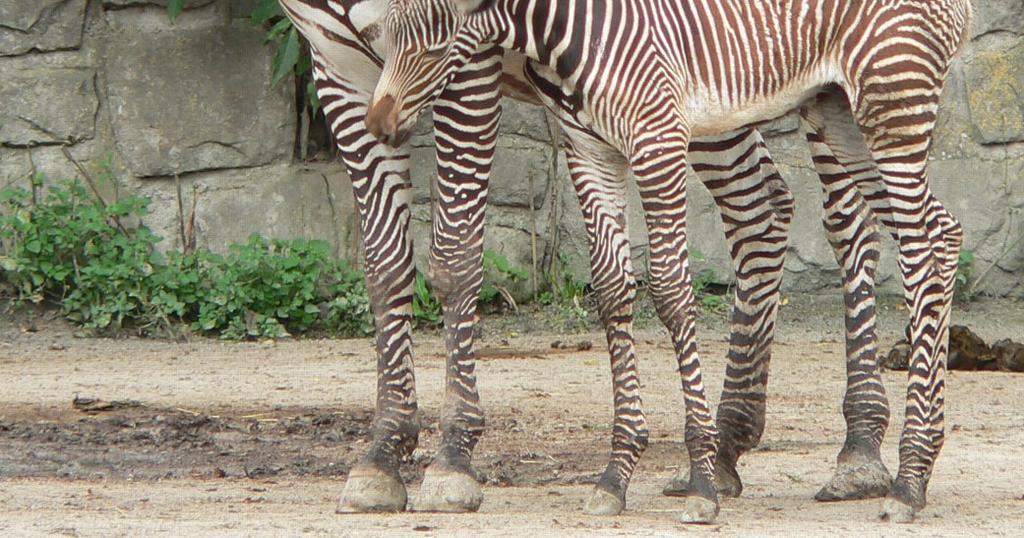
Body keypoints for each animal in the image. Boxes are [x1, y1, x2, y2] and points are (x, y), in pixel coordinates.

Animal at [366, 0, 966, 522]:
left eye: (436, 44)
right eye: (383, 35)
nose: (378, 124)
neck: (572, 32)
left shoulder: (659, 144)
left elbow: (672, 291)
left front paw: (701, 480)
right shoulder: (591, 151)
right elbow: (611, 290)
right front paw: (615, 475)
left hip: (892, 105)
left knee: (917, 249)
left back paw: (908, 481)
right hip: (839, 111)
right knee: (943, 233)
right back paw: (921, 467)